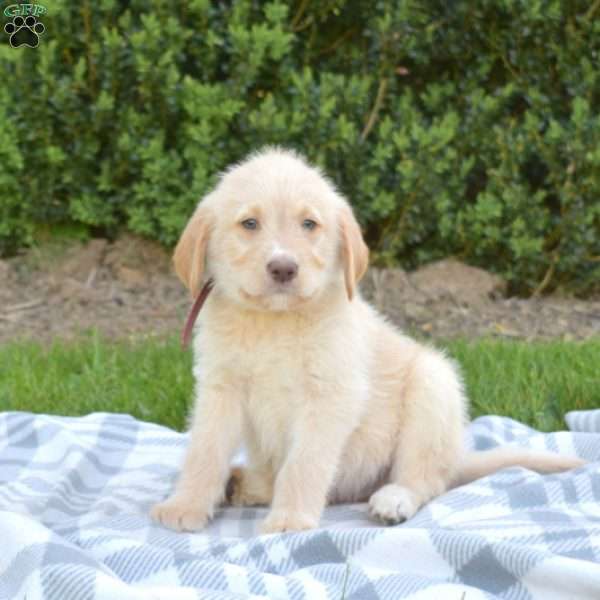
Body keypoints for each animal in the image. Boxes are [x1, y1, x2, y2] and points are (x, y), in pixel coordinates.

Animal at [151, 148, 584, 532]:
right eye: (249, 224)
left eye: (309, 224)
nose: (283, 268)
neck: (275, 322)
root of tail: (458, 457)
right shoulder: (221, 389)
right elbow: (204, 451)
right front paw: (186, 505)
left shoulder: (330, 395)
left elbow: (303, 463)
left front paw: (291, 519)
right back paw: (242, 484)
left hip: (433, 387)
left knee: (427, 478)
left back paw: (394, 498)